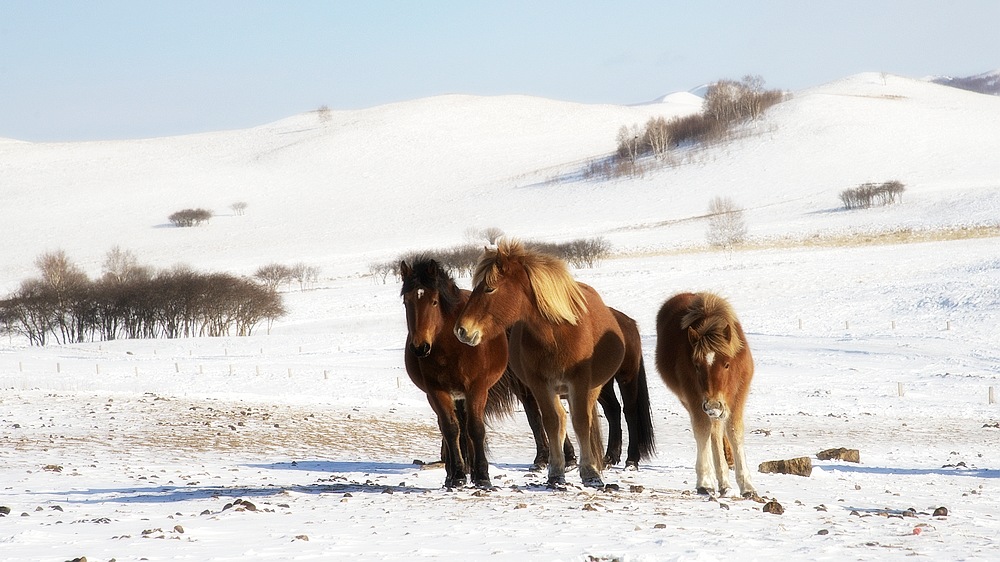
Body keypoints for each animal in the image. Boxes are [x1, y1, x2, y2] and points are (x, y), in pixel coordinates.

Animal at [458, 237, 628, 486]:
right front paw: (555, 472)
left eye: (489, 288)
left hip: (591, 387)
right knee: (561, 419)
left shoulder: (579, 383)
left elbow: (580, 422)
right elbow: (551, 421)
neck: (556, 334)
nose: (462, 330)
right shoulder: (539, 384)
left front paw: (590, 472)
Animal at [652, 290, 752, 496]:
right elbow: (703, 431)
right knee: (711, 431)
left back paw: (725, 482)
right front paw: (705, 482)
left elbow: (735, 432)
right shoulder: (695, 398)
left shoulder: (738, 397)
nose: (713, 404)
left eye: (727, 364)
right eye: (697, 366)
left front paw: (747, 486)